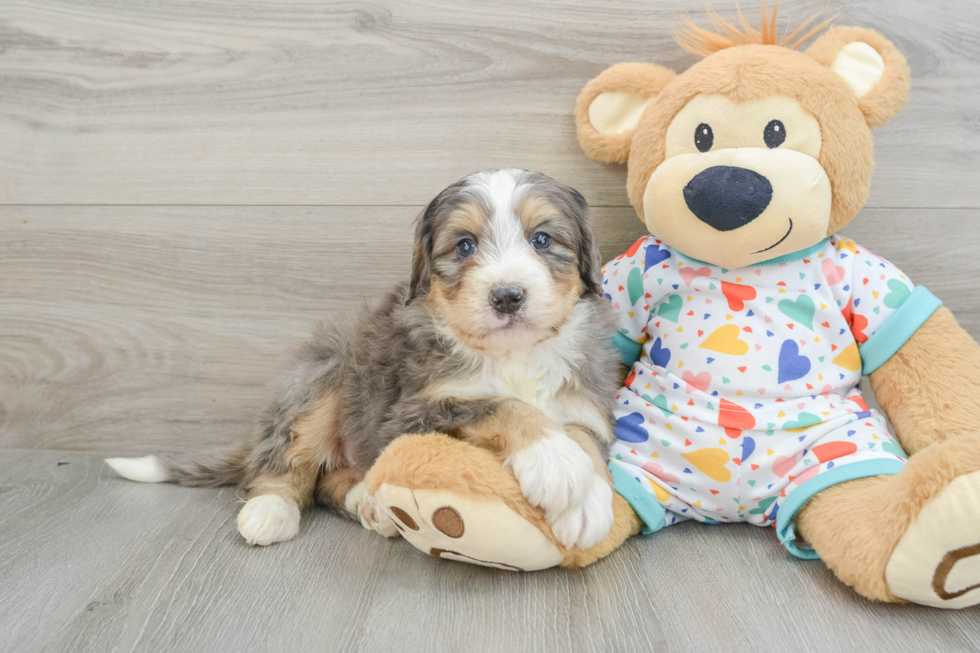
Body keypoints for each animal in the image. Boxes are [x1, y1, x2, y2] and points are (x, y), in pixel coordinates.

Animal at [107, 169, 620, 552]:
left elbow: (583, 437)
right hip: (322, 377)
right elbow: (502, 406)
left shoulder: (585, 401)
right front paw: (556, 462)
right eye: (465, 245)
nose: (508, 296)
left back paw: (367, 501)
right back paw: (271, 510)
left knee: (327, 481)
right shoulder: (411, 413)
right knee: (286, 467)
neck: (513, 354)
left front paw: (590, 502)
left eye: (542, 239)